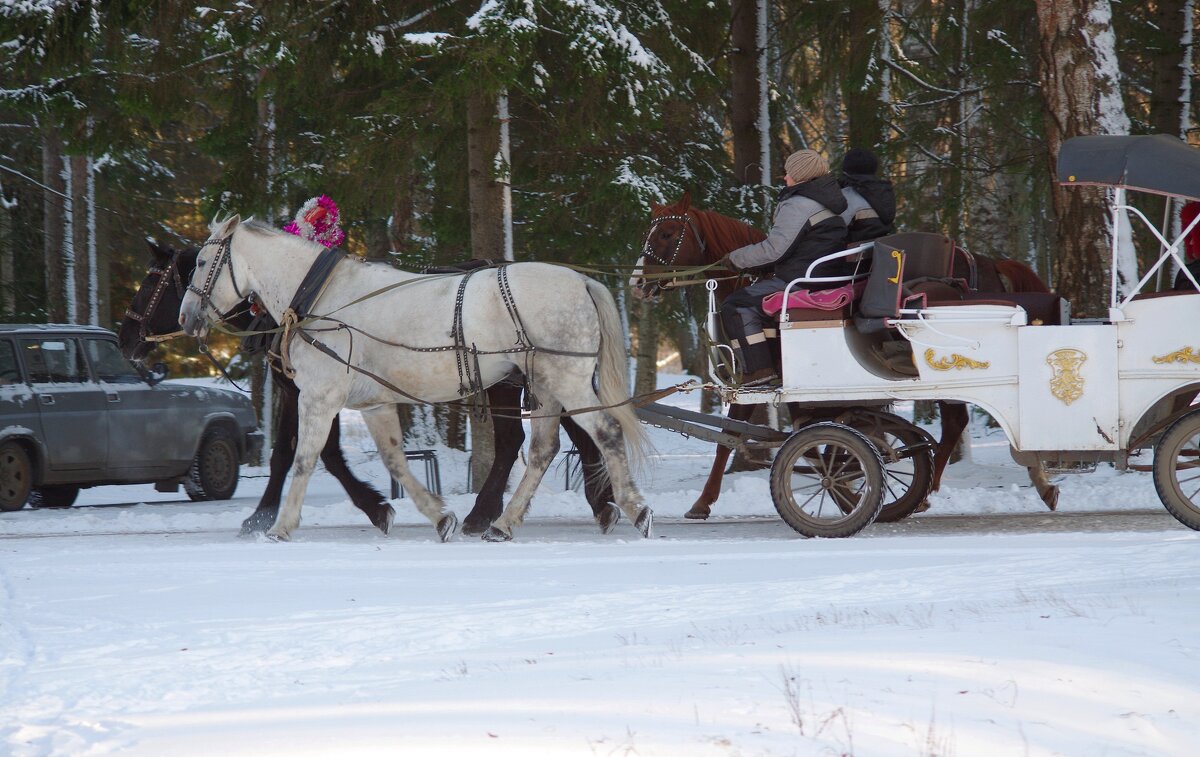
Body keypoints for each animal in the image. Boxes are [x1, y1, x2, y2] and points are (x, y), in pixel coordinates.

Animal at [178, 215, 652, 542]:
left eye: (201, 262)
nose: (185, 317)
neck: (324, 298)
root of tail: (581, 280)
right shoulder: (374, 402)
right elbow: (395, 462)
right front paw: (437, 516)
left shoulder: (317, 396)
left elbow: (303, 458)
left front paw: (280, 525)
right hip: (544, 388)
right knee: (542, 450)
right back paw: (504, 522)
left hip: (564, 380)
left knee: (604, 431)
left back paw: (633, 508)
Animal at [628, 191, 1060, 518]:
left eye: (668, 232)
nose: (636, 283)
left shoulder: (761, 387)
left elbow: (731, 438)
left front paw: (703, 502)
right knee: (959, 423)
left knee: (958, 421)